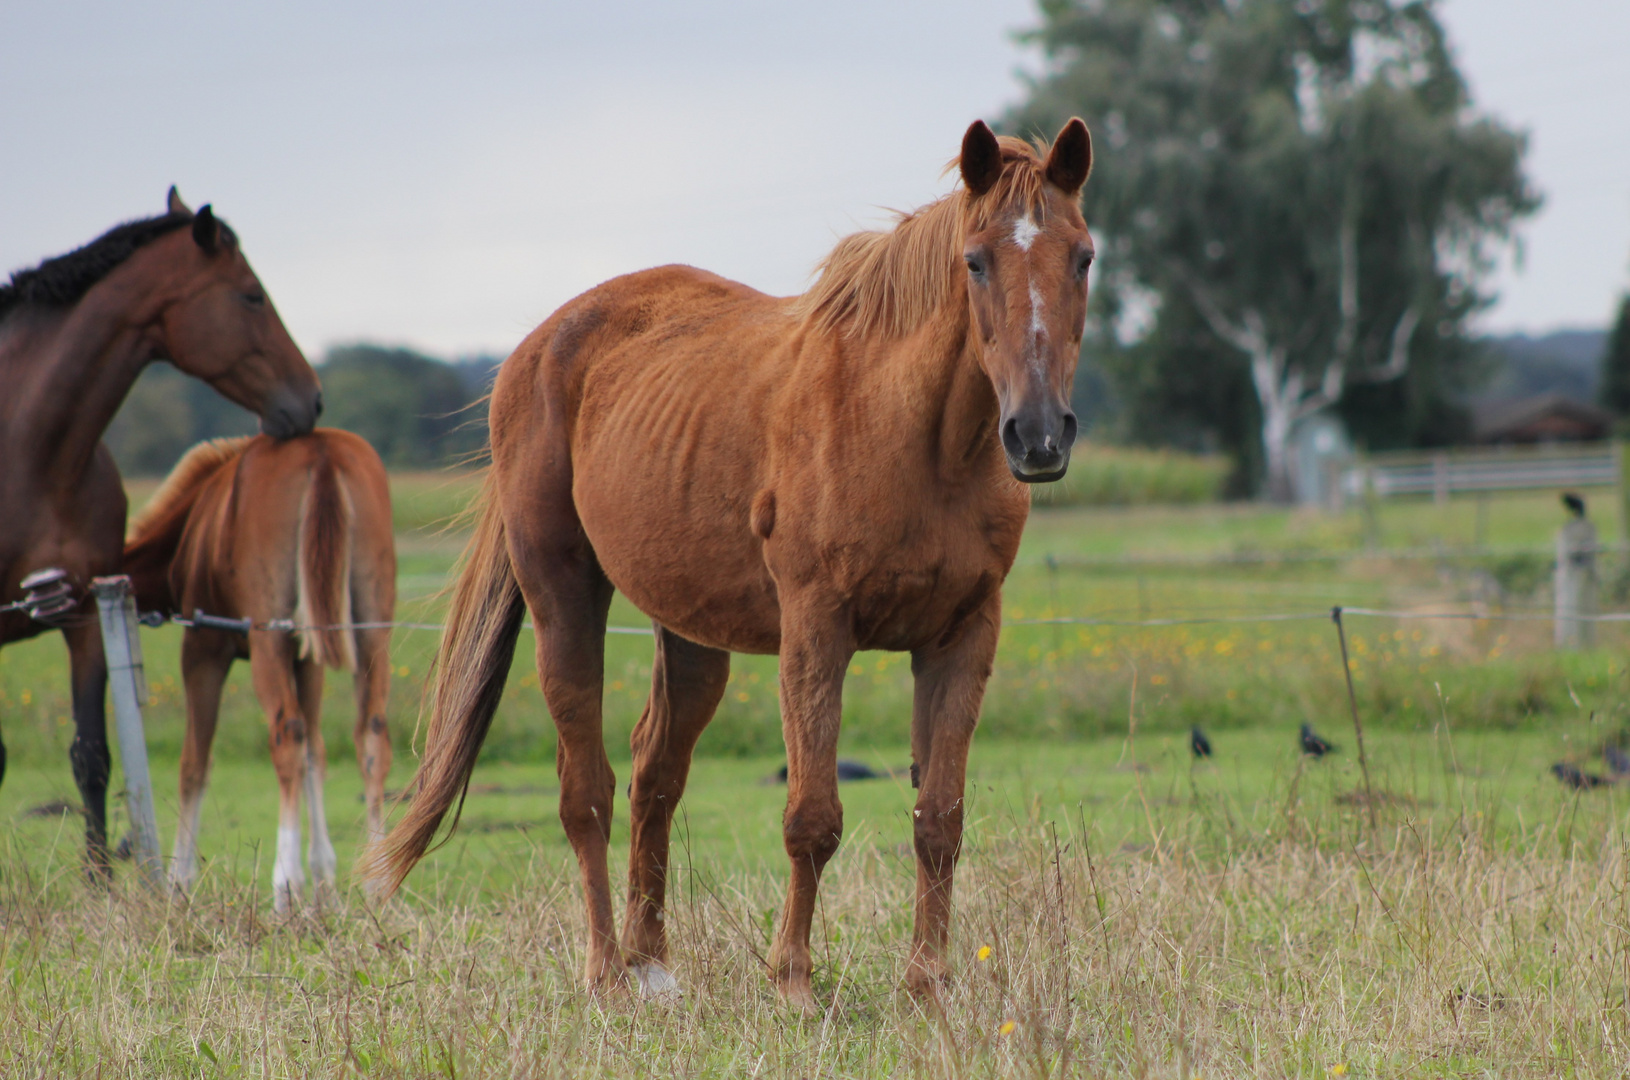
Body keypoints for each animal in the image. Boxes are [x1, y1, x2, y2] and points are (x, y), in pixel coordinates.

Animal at [0, 188, 321, 879]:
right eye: (251, 295)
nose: (311, 400)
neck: (29, 454)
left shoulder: (86, 618)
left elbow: (91, 755)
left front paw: (100, 882)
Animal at [122, 430, 396, 912]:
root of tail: (321, 450)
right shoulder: (307, 656)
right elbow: (316, 753)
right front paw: (326, 882)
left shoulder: (203, 650)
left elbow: (195, 762)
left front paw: (178, 881)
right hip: (371, 629)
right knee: (370, 734)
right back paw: (376, 881)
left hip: (268, 637)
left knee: (286, 734)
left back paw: (284, 884)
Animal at [363, 116, 1088, 1003]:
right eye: (976, 260)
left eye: (1083, 256)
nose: (1040, 435)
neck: (919, 440)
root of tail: (536, 348)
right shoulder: (816, 630)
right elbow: (812, 818)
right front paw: (794, 982)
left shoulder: (962, 638)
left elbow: (939, 818)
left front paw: (928, 985)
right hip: (563, 597)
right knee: (587, 793)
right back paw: (606, 971)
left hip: (692, 633)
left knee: (655, 774)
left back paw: (652, 963)